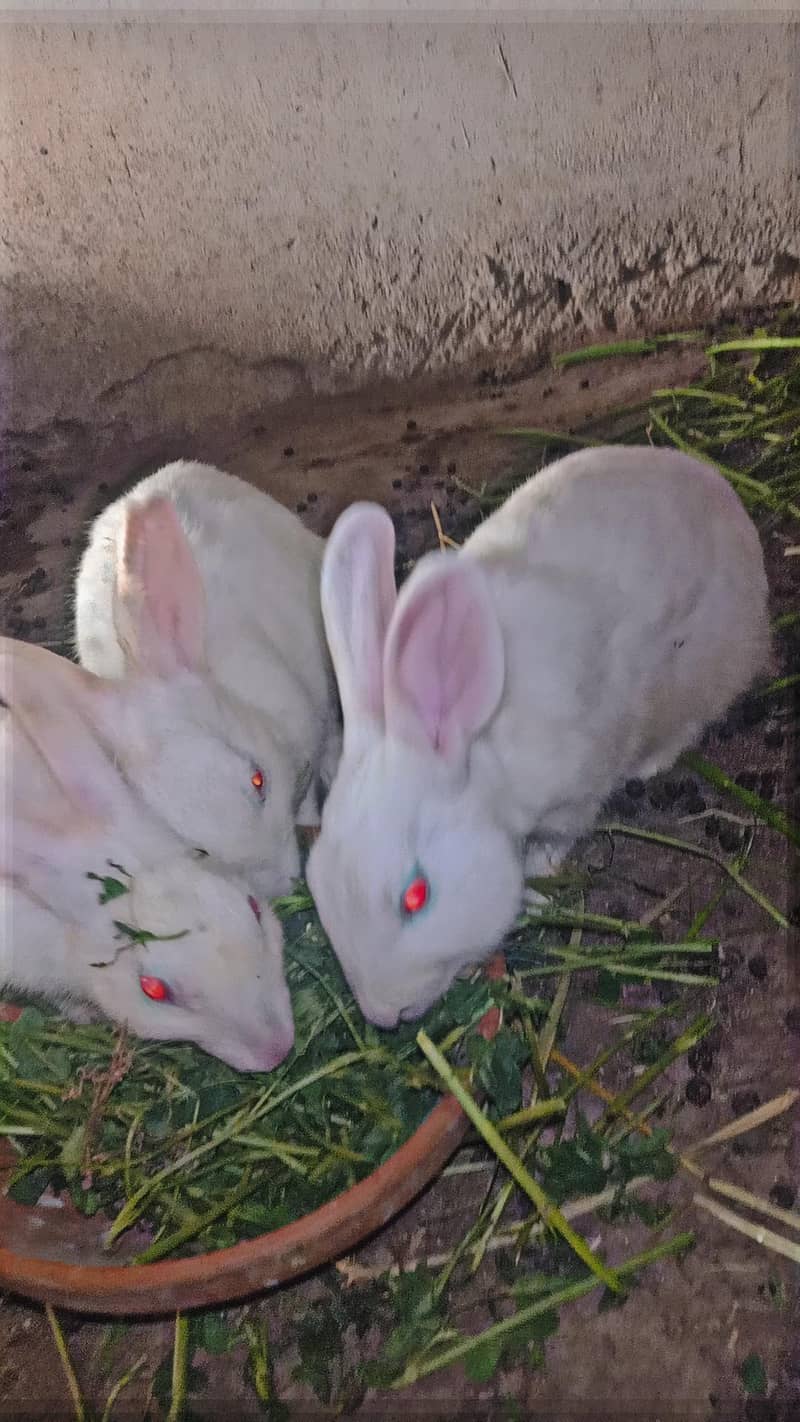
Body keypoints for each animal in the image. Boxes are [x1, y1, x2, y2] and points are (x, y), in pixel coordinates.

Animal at [306, 445, 772, 1029]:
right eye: (315, 878)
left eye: (416, 896)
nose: (384, 1014)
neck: (481, 739)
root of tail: (722, 493)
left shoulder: (575, 794)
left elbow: (556, 842)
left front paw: (535, 891)